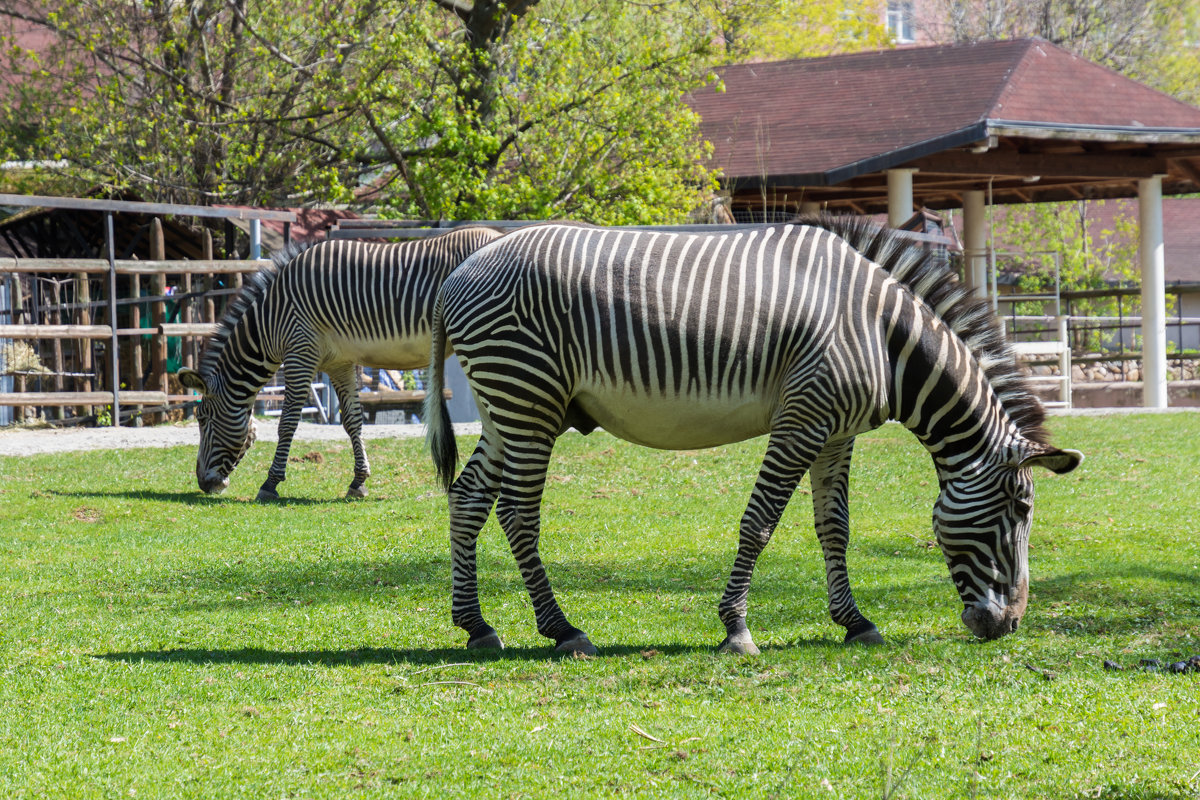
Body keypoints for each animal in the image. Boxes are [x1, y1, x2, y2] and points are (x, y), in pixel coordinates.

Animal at [175, 225, 504, 501]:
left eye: (203, 418)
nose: (204, 484)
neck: (271, 320)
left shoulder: (300, 353)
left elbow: (288, 422)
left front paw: (270, 484)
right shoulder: (339, 362)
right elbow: (352, 421)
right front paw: (358, 482)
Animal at [427, 215, 1084, 652]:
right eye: (1021, 509)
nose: (1008, 626)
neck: (883, 337)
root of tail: (458, 272)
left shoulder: (837, 432)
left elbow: (835, 527)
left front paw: (856, 622)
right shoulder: (803, 418)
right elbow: (760, 521)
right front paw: (736, 628)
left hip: (508, 407)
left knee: (467, 497)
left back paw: (477, 626)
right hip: (527, 399)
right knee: (516, 513)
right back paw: (562, 630)